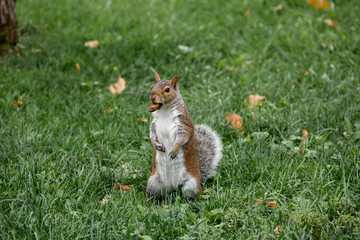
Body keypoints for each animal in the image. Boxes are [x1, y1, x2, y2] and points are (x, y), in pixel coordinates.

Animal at [146, 72, 222, 200]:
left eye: (167, 90)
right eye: (152, 87)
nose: (152, 97)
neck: (164, 110)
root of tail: (174, 187)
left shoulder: (183, 124)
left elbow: (181, 138)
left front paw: (173, 151)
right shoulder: (154, 123)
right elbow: (151, 133)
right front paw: (156, 144)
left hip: (191, 185)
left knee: (194, 195)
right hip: (153, 183)